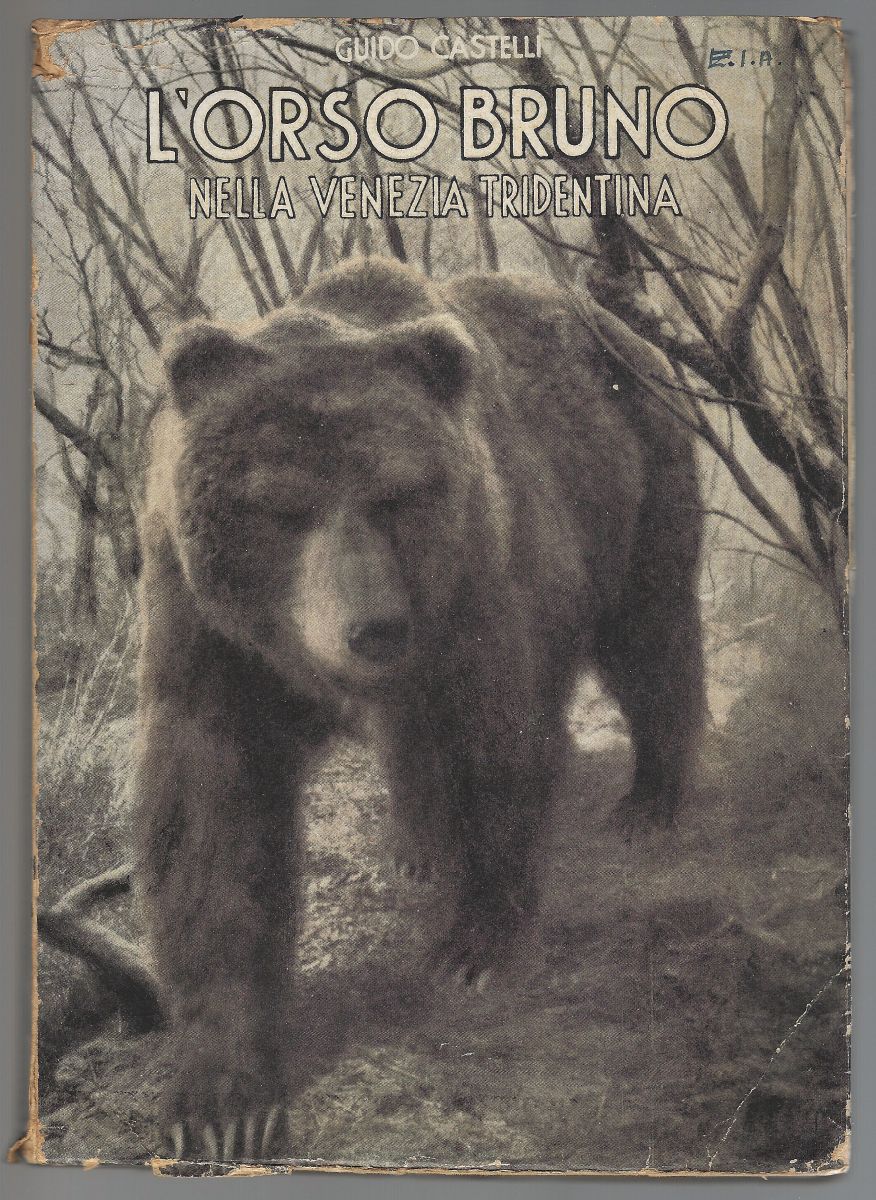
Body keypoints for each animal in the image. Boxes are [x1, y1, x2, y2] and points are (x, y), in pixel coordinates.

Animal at [134, 256, 704, 1160]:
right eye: (284, 505)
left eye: (394, 494)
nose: (374, 626)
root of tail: (608, 316)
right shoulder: (205, 627)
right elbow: (209, 815)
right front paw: (222, 1102)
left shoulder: (478, 577)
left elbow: (497, 741)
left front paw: (472, 948)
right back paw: (418, 850)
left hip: (637, 469)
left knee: (649, 631)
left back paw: (650, 798)